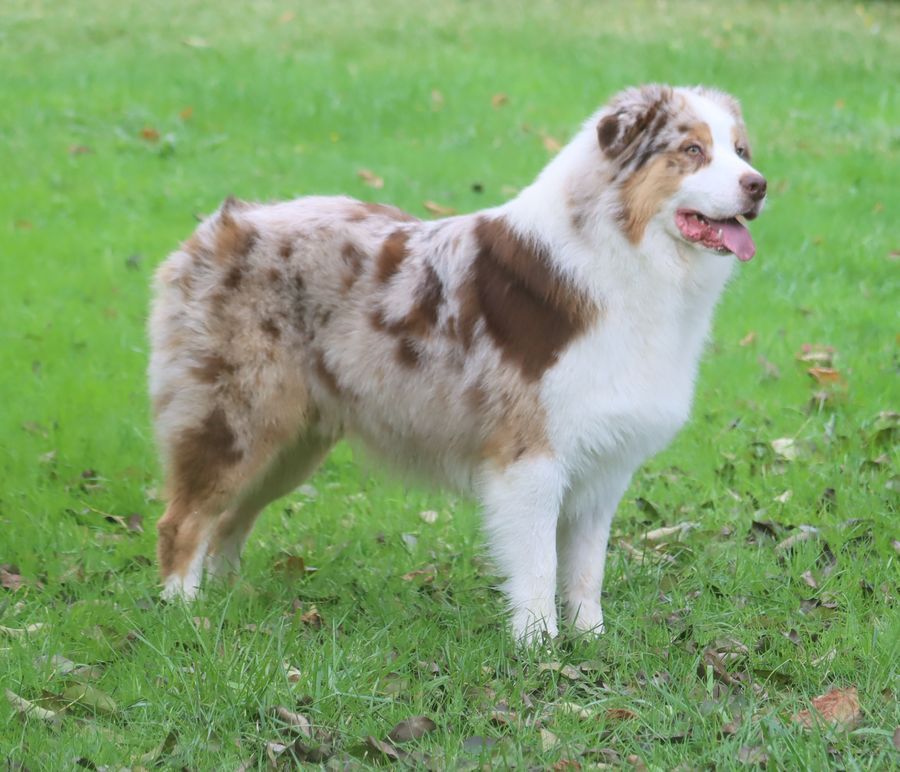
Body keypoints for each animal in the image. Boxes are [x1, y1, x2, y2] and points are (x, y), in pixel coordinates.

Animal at [149, 84, 768, 644]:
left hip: (292, 445)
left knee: (229, 520)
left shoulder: (605, 463)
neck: (624, 254)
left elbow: (587, 569)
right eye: (692, 149)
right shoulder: (531, 457)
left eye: (741, 150)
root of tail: (217, 228)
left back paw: (231, 600)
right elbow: (539, 565)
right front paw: (540, 648)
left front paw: (592, 641)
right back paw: (186, 615)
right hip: (238, 420)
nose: (759, 185)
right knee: (184, 520)